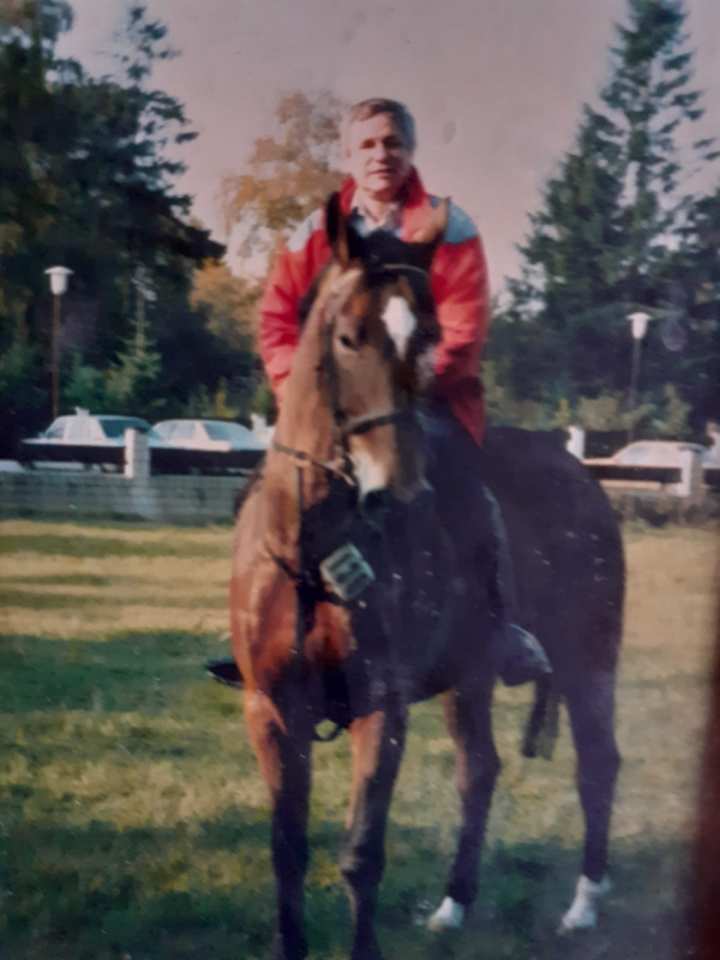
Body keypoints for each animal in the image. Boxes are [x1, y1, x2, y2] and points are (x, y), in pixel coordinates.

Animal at [231, 197, 624, 960]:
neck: (316, 550)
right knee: (482, 770)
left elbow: (361, 854)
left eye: (433, 336)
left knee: (598, 764)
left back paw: (585, 904)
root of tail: (584, 477)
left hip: (589, 664)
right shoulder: (270, 712)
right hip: (469, 679)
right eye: (348, 337)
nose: (400, 489)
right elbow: (286, 851)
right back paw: (454, 904)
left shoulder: (381, 712)